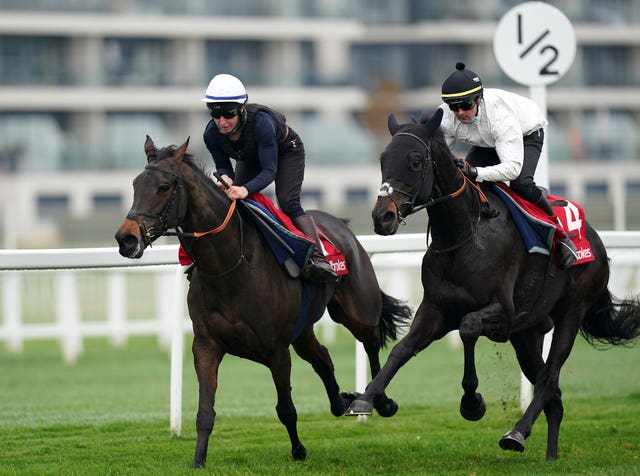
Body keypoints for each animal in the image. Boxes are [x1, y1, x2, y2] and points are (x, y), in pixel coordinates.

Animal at [115, 135, 410, 468]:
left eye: (164, 187)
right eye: (135, 184)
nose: (126, 238)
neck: (230, 266)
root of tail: (340, 224)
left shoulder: (276, 350)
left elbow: (286, 409)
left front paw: (298, 451)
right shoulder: (206, 345)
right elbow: (205, 412)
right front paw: (198, 461)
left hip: (358, 311)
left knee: (371, 342)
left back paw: (378, 401)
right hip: (303, 332)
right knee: (322, 358)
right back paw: (342, 400)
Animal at [348, 109, 640, 460]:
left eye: (416, 160)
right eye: (383, 159)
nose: (383, 217)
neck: (465, 234)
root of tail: (596, 241)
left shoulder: (503, 311)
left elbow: (468, 328)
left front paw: (472, 403)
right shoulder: (435, 309)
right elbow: (402, 350)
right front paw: (367, 398)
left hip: (572, 312)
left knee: (549, 377)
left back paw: (517, 432)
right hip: (527, 334)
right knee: (553, 395)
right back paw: (550, 455)